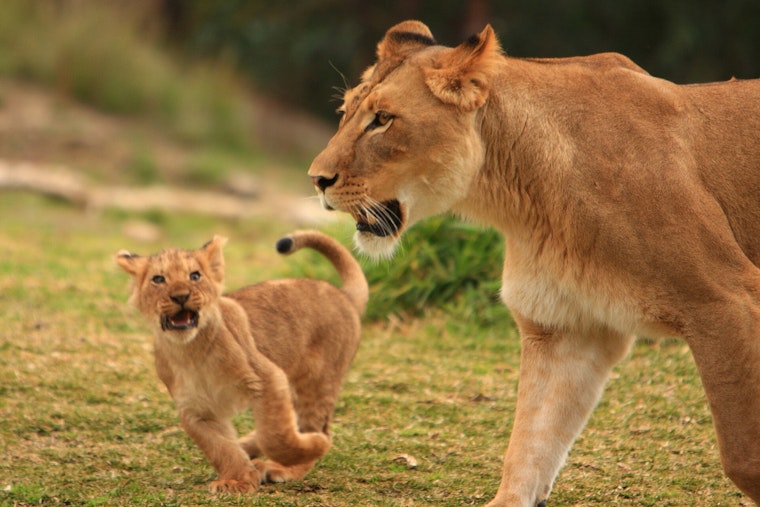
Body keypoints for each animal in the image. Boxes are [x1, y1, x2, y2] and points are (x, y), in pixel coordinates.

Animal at [116, 230, 367, 493]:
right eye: (158, 279)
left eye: (195, 275)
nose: (181, 296)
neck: (191, 351)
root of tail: (343, 295)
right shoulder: (196, 409)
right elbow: (220, 447)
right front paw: (236, 480)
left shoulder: (267, 378)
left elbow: (275, 436)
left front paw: (311, 445)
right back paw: (248, 447)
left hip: (317, 383)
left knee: (315, 428)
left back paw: (292, 459)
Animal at [307, 20, 760, 506]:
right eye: (346, 110)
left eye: (383, 119)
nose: (316, 179)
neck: (524, 195)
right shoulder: (565, 328)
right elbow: (531, 444)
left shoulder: (725, 300)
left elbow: (743, 457)